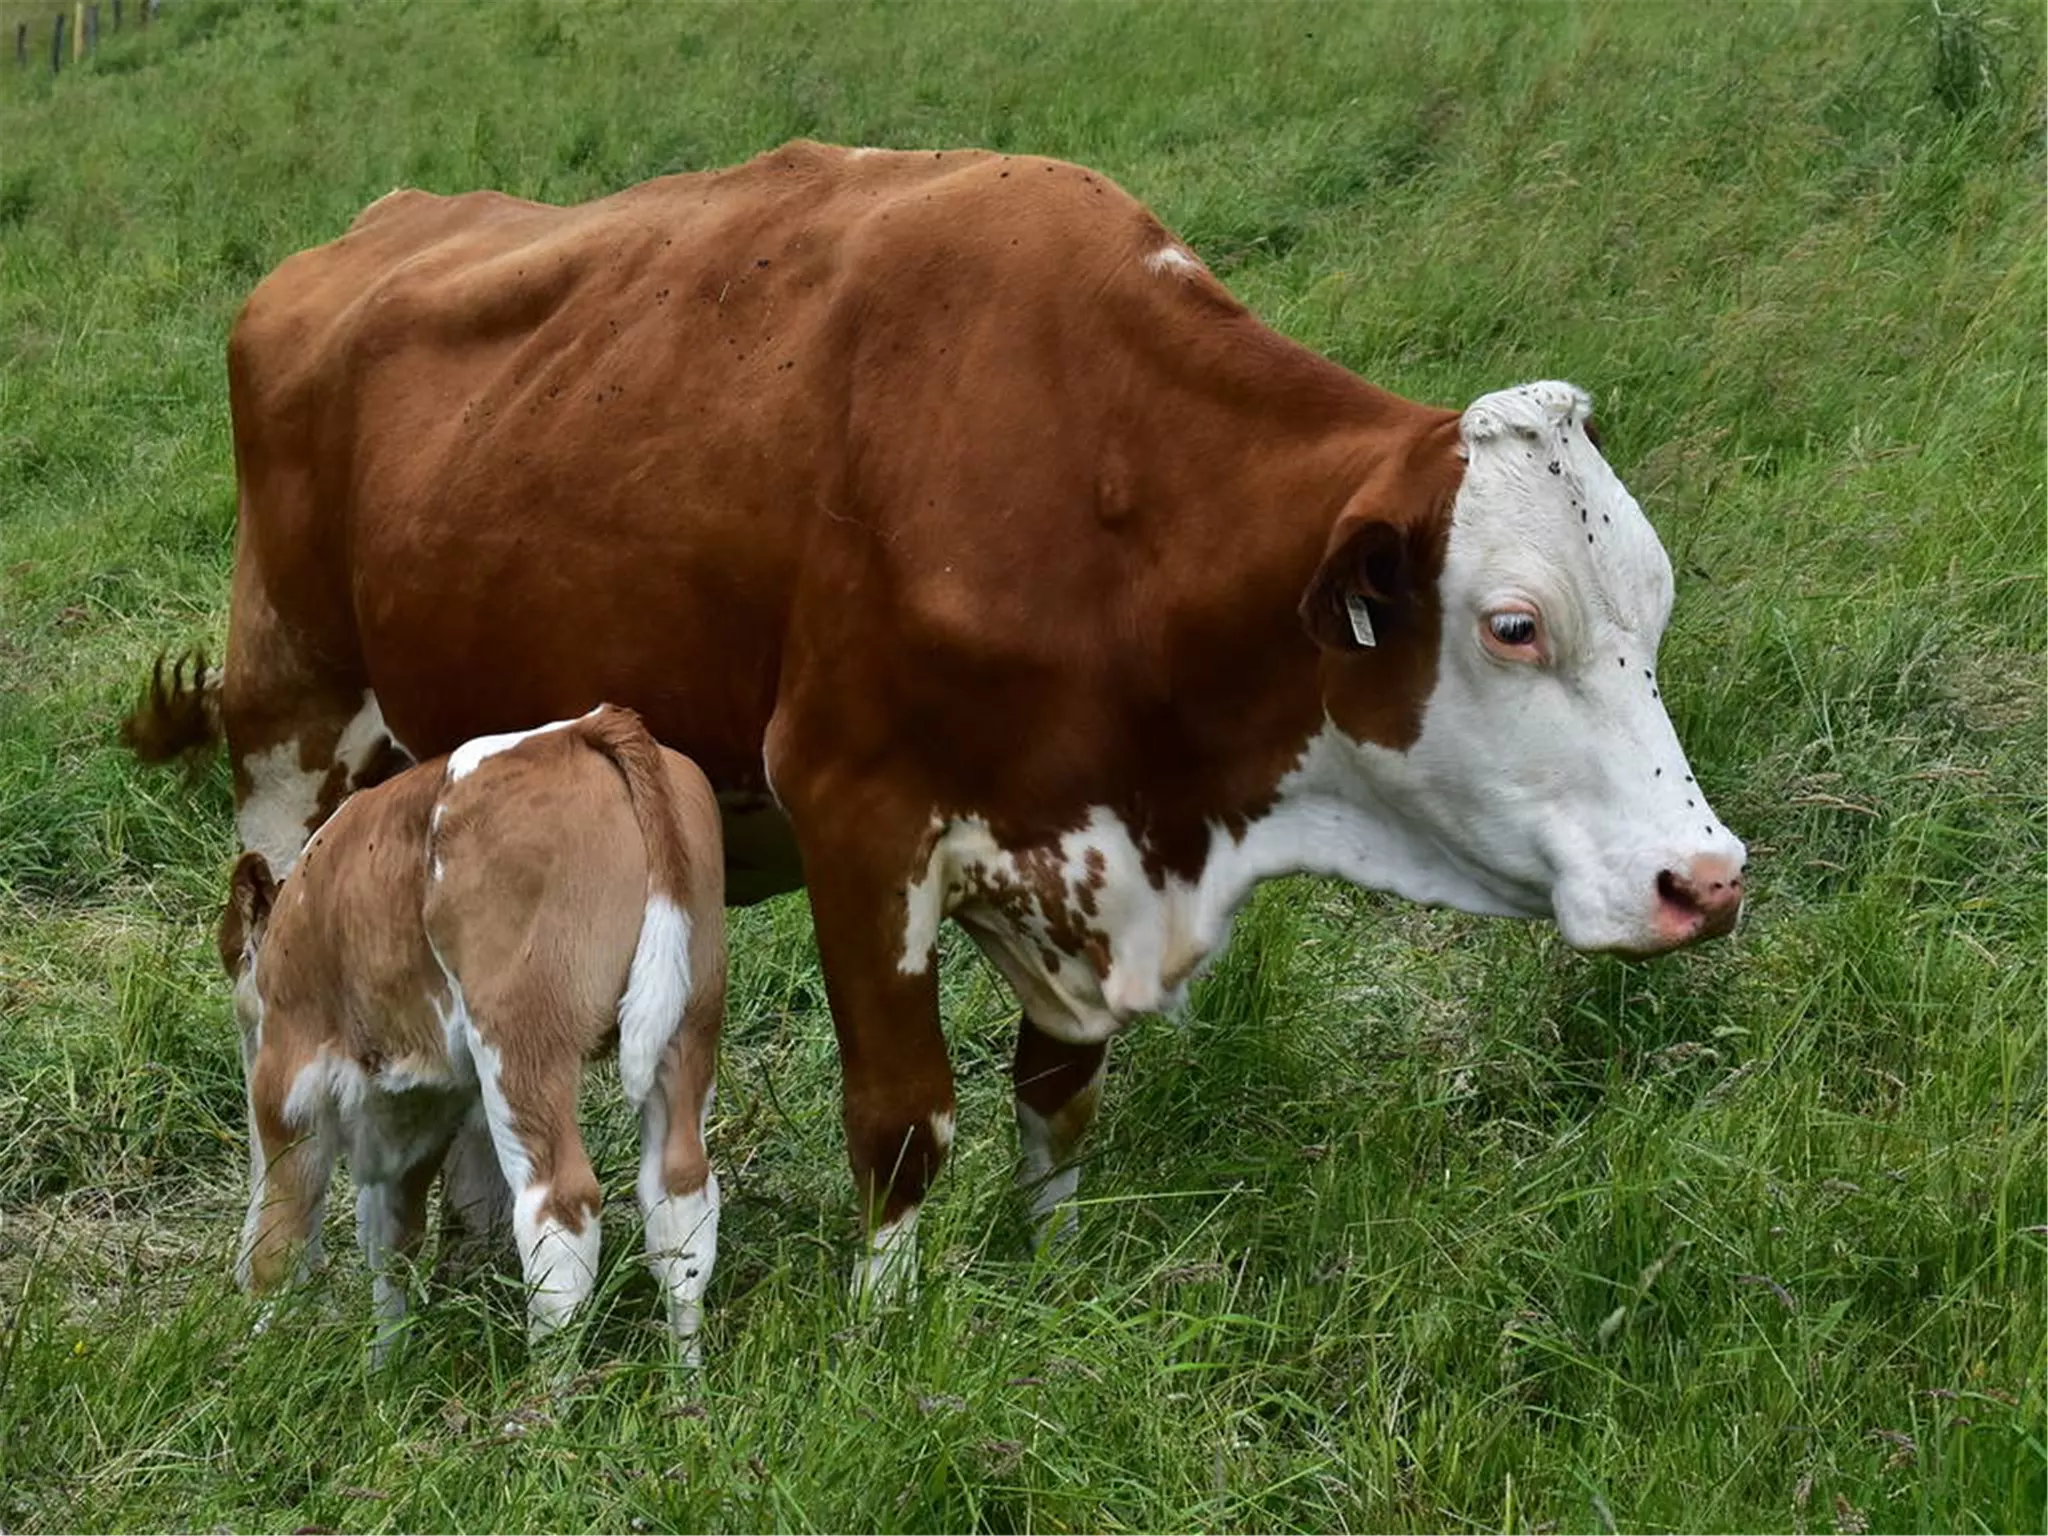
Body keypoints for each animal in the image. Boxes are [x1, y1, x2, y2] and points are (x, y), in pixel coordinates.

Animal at [215, 704, 724, 1368]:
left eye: (246, 1017)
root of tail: (584, 729)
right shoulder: (414, 1105)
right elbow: (390, 1239)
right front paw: (384, 1368)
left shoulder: (290, 1088)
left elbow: (284, 1236)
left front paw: (260, 1358)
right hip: (688, 1021)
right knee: (680, 1203)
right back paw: (686, 1378)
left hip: (521, 1041)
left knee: (559, 1217)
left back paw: (547, 1391)